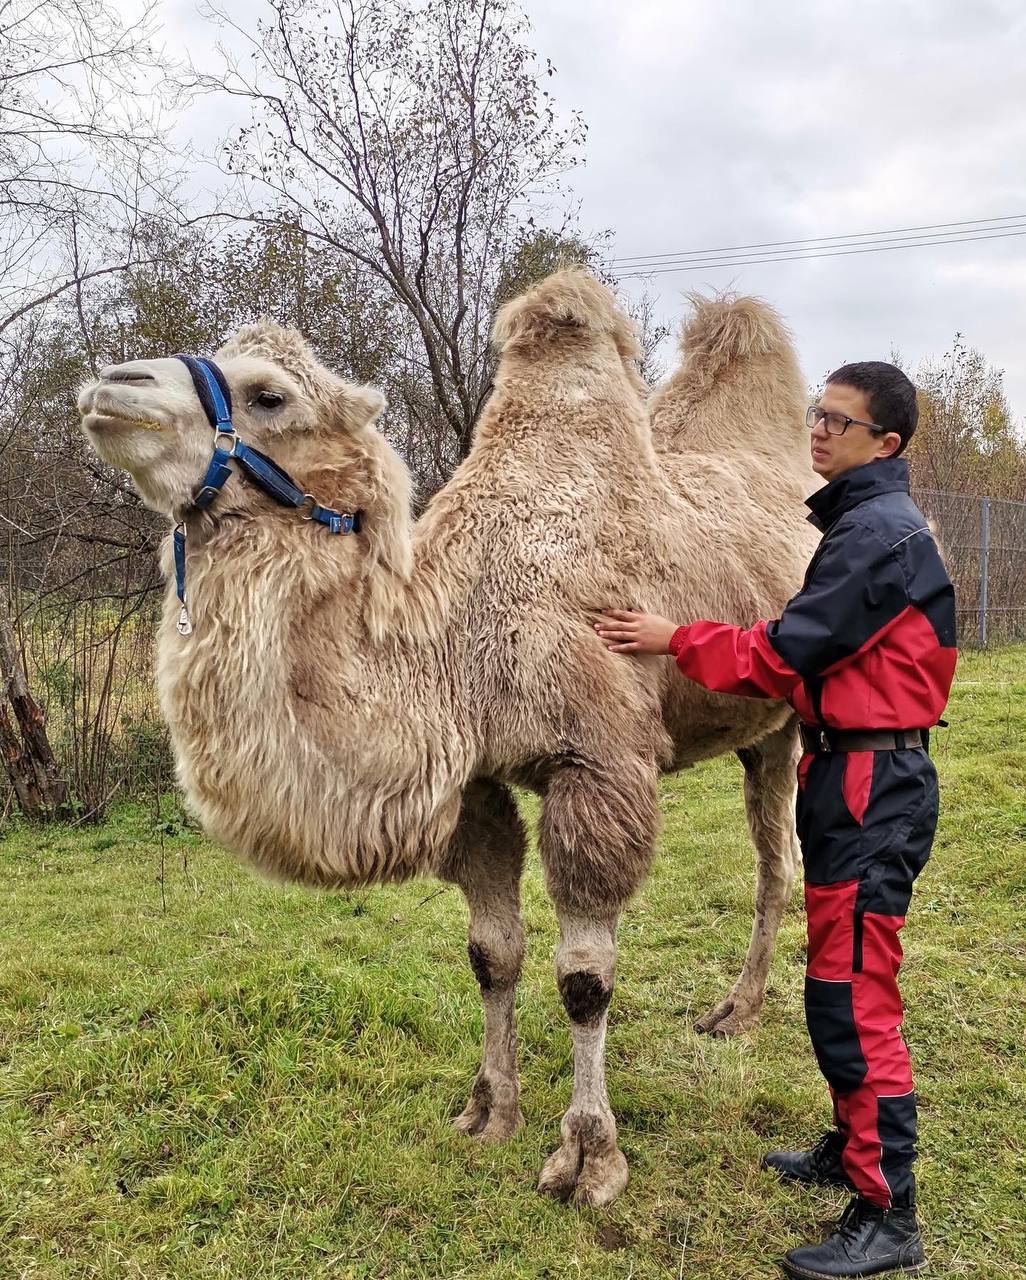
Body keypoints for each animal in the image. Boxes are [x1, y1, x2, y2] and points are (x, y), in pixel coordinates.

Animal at [76, 270, 813, 1208]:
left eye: (270, 395)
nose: (111, 387)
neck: (455, 645)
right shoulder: (475, 785)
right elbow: (492, 953)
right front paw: (488, 1111)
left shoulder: (597, 766)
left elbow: (584, 980)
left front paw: (588, 1157)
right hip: (762, 730)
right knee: (774, 856)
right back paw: (736, 1009)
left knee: (787, 861)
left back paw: (743, 1013)